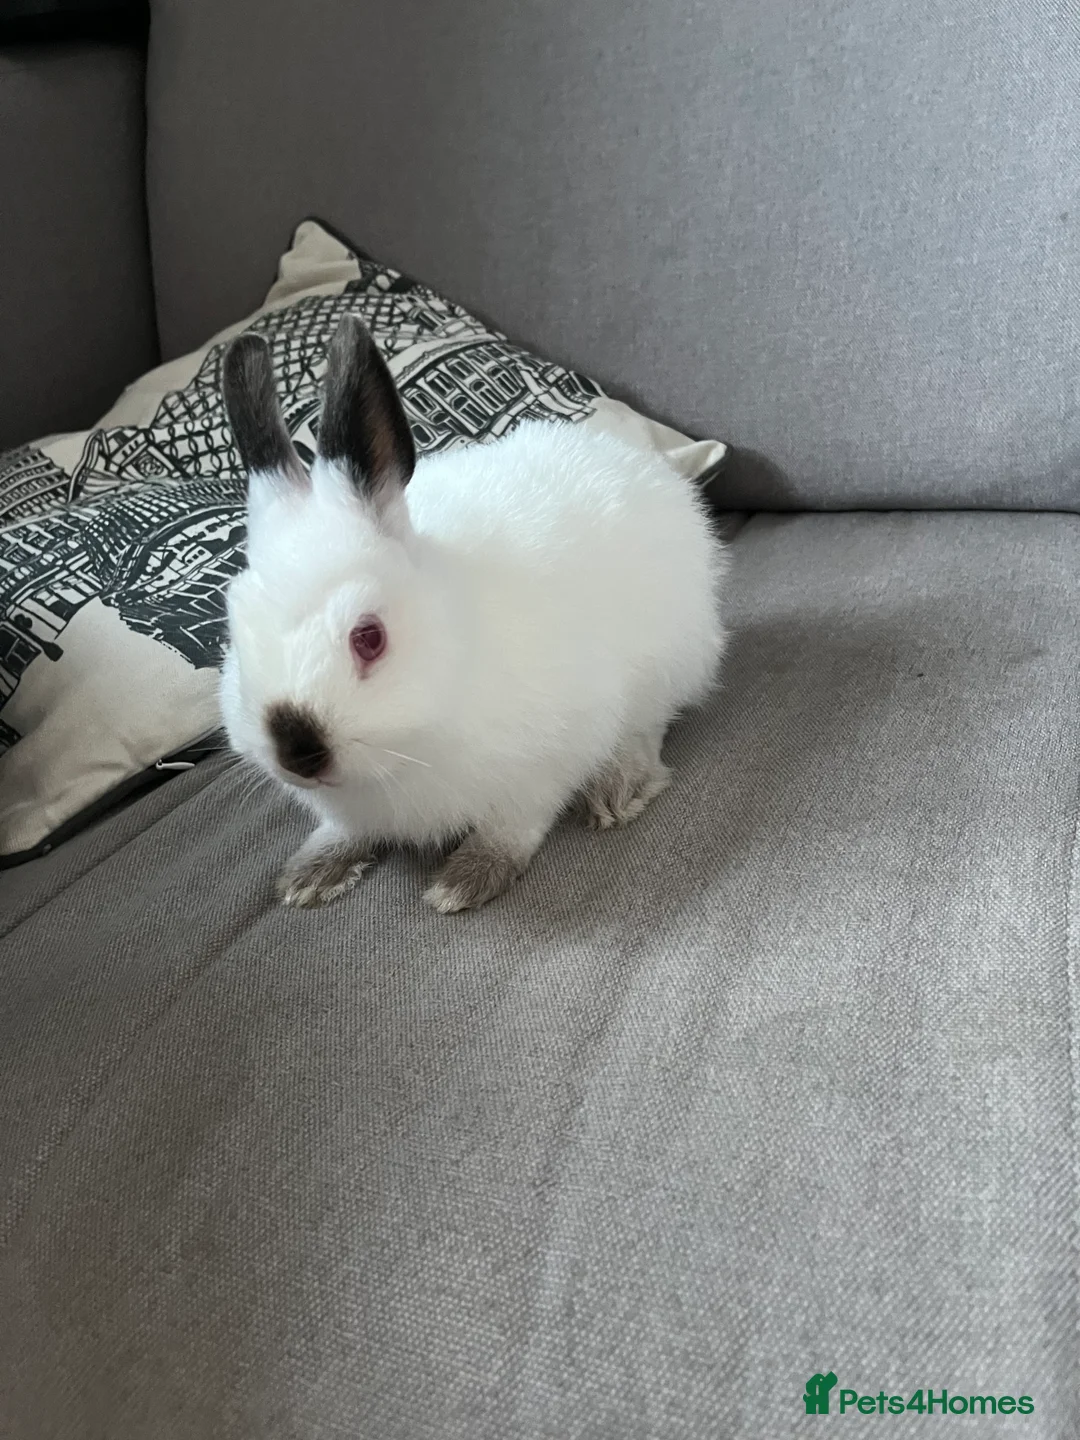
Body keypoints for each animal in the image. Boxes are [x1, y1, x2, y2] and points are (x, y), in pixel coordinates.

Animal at [219, 314, 725, 913]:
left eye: (370, 637)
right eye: (237, 634)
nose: (297, 753)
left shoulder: (544, 766)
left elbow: (515, 827)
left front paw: (466, 880)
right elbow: (346, 831)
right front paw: (312, 874)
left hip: (666, 663)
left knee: (648, 727)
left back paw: (619, 787)